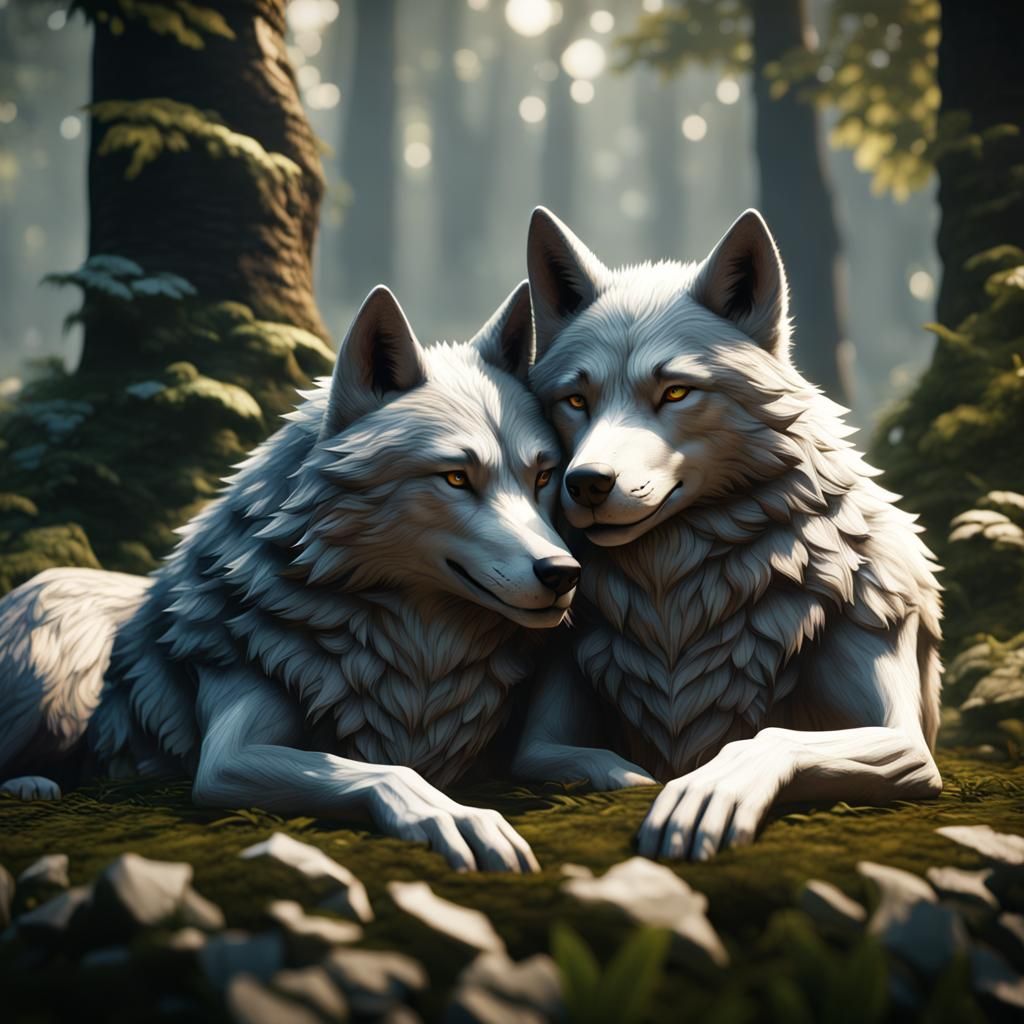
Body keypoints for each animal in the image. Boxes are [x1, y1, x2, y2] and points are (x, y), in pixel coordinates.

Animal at [0, 283, 581, 872]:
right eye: (457, 478)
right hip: (56, 666)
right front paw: (458, 818)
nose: (564, 573)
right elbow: (388, 771)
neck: (418, 654)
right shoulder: (226, 758)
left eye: (542, 476)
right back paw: (30, 783)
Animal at [512, 207, 943, 861]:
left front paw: (704, 793)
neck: (674, 598)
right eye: (576, 399)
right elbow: (566, 757)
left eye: (675, 392)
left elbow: (767, 737)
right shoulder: (547, 715)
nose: (585, 483)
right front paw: (638, 777)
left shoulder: (905, 738)